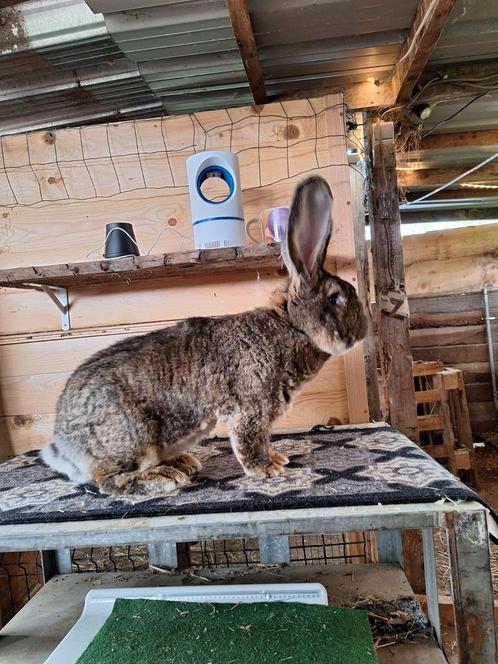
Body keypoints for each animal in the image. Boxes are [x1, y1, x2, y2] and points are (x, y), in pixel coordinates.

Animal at [40, 174, 366, 496]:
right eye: (335, 298)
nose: (364, 328)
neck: (290, 326)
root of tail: (65, 445)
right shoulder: (252, 409)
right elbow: (249, 440)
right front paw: (266, 469)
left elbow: (264, 439)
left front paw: (277, 459)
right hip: (131, 438)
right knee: (110, 479)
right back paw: (164, 477)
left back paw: (183, 463)